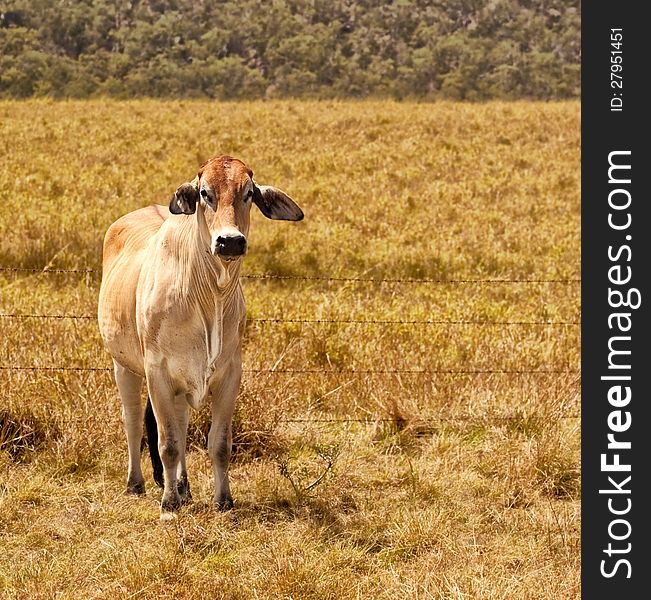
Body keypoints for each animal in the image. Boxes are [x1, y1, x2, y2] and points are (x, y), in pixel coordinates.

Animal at [97, 157, 306, 516]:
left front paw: (223, 500)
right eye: (205, 193)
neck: (209, 297)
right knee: (134, 422)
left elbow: (218, 444)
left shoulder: (229, 374)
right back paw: (137, 483)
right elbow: (167, 443)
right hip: (123, 366)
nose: (230, 241)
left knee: (180, 424)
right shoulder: (157, 372)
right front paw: (168, 504)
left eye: (248, 193)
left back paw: (183, 486)